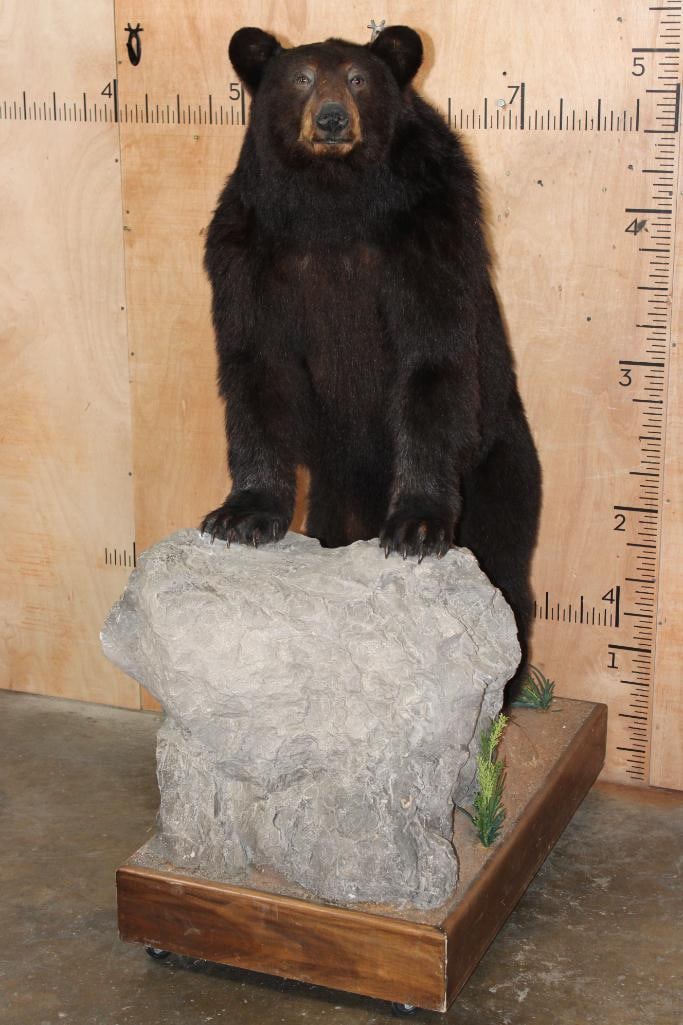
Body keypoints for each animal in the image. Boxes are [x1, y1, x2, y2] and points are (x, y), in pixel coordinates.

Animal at [201, 25, 542, 688]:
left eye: (358, 79)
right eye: (301, 78)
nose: (332, 119)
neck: (332, 199)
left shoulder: (425, 234)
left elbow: (432, 358)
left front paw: (418, 524)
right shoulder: (249, 248)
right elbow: (257, 366)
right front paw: (241, 514)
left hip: (502, 470)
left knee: (507, 571)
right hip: (335, 493)